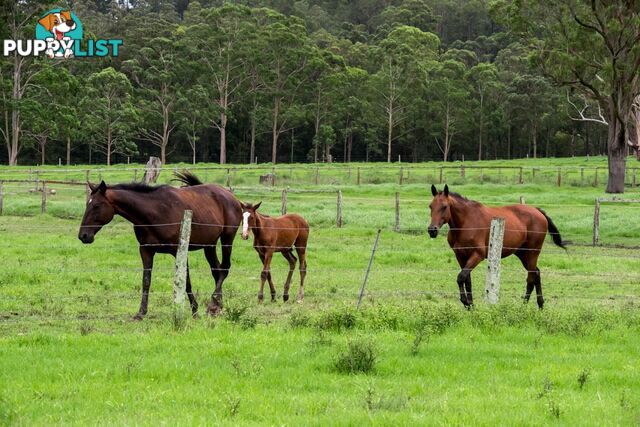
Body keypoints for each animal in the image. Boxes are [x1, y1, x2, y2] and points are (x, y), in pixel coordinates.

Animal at [77, 172, 241, 320]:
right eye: (87, 204)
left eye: (96, 205)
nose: (83, 236)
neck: (155, 212)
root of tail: (232, 196)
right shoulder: (146, 250)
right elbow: (146, 281)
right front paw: (141, 312)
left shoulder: (178, 250)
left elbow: (186, 280)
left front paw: (194, 310)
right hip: (210, 245)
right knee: (217, 271)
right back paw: (218, 306)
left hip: (227, 238)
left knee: (225, 269)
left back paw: (212, 305)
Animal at [430, 186, 564, 310]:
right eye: (430, 206)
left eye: (444, 206)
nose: (432, 230)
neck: (465, 223)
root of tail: (537, 211)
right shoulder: (461, 256)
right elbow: (467, 280)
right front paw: (471, 306)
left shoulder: (477, 255)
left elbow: (460, 277)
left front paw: (466, 302)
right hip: (522, 254)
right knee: (536, 273)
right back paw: (540, 305)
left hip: (532, 253)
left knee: (531, 277)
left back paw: (523, 307)